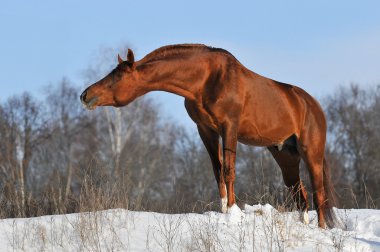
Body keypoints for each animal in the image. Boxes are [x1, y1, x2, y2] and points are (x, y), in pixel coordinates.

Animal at [81, 43, 336, 228]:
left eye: (117, 77)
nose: (85, 95)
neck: (207, 79)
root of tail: (312, 105)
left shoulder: (229, 127)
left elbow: (229, 170)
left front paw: (232, 211)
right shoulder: (206, 130)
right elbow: (217, 170)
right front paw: (223, 209)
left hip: (311, 153)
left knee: (319, 192)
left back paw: (322, 227)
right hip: (285, 155)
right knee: (300, 192)